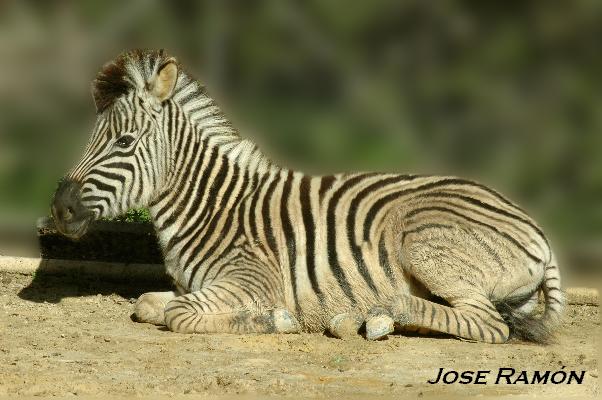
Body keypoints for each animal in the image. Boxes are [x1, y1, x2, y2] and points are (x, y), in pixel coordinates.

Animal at [51, 49, 564, 344]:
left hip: (425, 244)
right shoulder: (191, 286)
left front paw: (277, 320)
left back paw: (376, 313)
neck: (208, 208)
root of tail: (535, 227)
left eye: (124, 142)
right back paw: (371, 322)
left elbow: (177, 315)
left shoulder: (252, 281)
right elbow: (146, 303)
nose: (60, 208)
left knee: (487, 323)